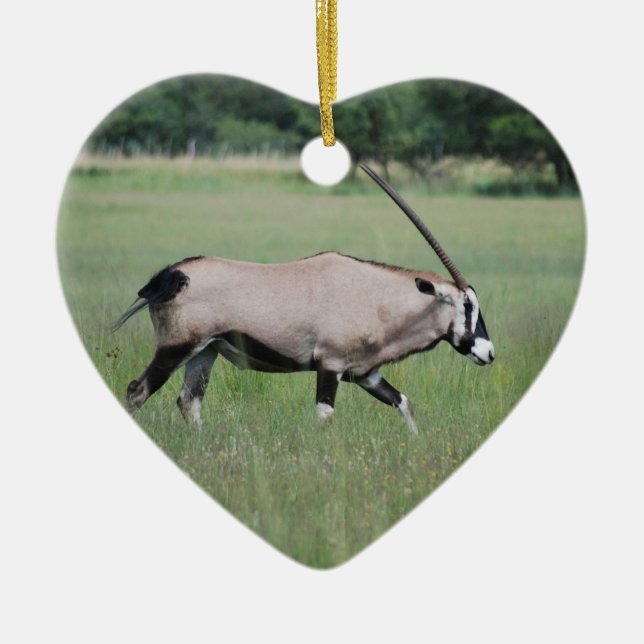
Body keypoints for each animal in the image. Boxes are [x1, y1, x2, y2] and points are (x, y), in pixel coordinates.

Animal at [116, 164, 494, 433]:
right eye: (466, 306)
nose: (488, 353)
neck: (374, 297)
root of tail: (171, 276)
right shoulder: (330, 365)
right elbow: (325, 418)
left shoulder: (366, 373)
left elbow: (404, 403)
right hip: (175, 348)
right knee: (137, 391)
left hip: (205, 351)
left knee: (189, 401)